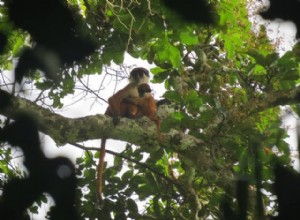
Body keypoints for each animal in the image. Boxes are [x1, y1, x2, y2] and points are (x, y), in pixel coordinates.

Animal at [97, 67, 151, 206]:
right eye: (134, 73)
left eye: (140, 73)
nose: (135, 76)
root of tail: (107, 113)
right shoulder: (131, 87)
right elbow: (114, 98)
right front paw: (118, 117)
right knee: (127, 101)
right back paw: (128, 116)